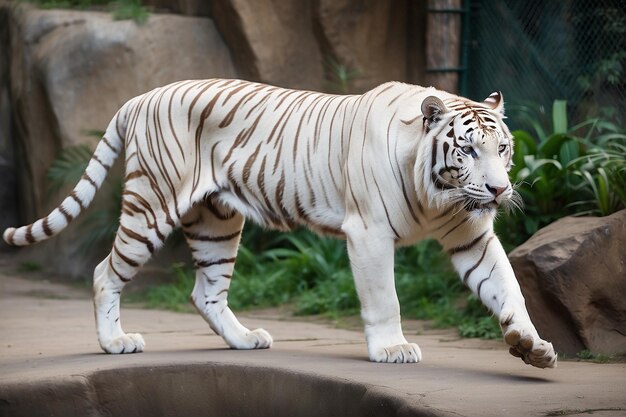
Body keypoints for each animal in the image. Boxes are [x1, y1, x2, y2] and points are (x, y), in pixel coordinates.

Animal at [1, 79, 556, 368]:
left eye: (502, 149)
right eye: (468, 150)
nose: (499, 190)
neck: (438, 194)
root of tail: (143, 95)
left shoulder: (470, 234)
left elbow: (506, 286)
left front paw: (532, 346)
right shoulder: (369, 233)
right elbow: (385, 298)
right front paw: (393, 348)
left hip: (216, 221)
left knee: (205, 292)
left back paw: (245, 339)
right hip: (152, 204)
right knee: (104, 273)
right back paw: (115, 342)